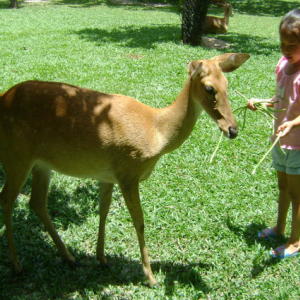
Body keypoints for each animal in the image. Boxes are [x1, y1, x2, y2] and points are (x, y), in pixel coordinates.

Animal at [0, 52, 248, 288]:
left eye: (227, 84)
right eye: (209, 88)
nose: (233, 129)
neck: (157, 132)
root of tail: (4, 97)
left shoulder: (107, 174)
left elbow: (104, 210)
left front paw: (102, 257)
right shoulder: (128, 172)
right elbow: (139, 221)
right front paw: (150, 277)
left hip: (41, 163)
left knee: (37, 202)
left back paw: (69, 256)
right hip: (15, 156)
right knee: (7, 200)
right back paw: (16, 264)